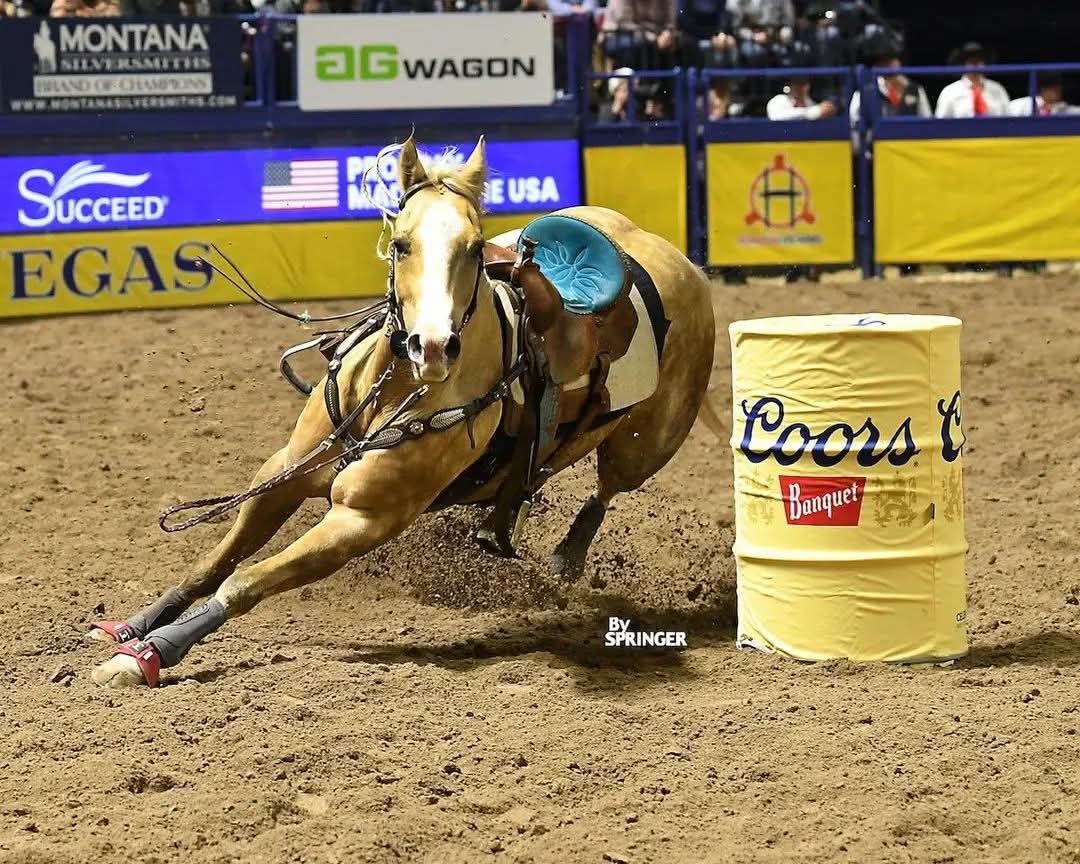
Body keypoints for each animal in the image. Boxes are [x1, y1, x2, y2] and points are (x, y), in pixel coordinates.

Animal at [89, 135, 720, 688]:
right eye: (401, 243)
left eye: (474, 247)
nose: (432, 347)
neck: (391, 392)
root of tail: (668, 253)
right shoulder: (283, 472)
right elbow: (212, 565)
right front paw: (132, 628)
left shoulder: (365, 518)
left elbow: (244, 581)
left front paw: (148, 655)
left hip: (646, 445)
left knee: (608, 487)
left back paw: (566, 556)